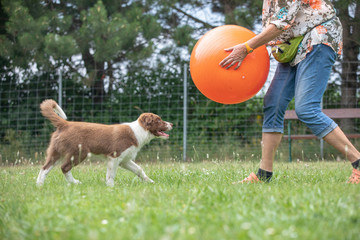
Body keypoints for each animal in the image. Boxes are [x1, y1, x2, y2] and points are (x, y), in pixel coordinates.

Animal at [36, 98, 173, 187]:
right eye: (159, 120)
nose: (171, 124)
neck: (138, 131)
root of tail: (65, 124)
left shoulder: (125, 160)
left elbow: (139, 169)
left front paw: (150, 182)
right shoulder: (114, 157)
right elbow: (111, 174)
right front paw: (111, 187)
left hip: (56, 152)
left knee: (45, 168)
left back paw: (39, 185)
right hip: (78, 152)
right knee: (64, 167)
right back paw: (74, 183)